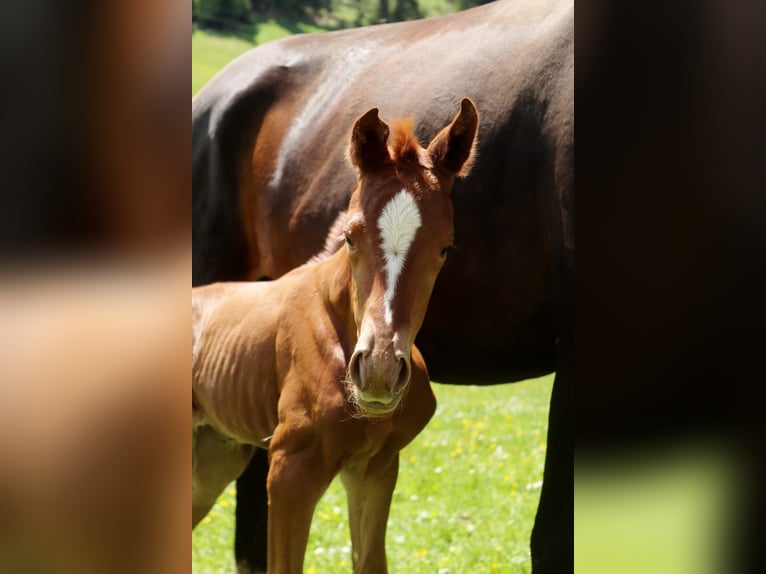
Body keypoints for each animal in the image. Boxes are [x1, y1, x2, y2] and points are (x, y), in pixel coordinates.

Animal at [194, 97, 480, 572]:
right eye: (350, 237)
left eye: (444, 247)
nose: (379, 372)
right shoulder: (288, 468)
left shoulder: (375, 468)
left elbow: (370, 561)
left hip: (215, 455)